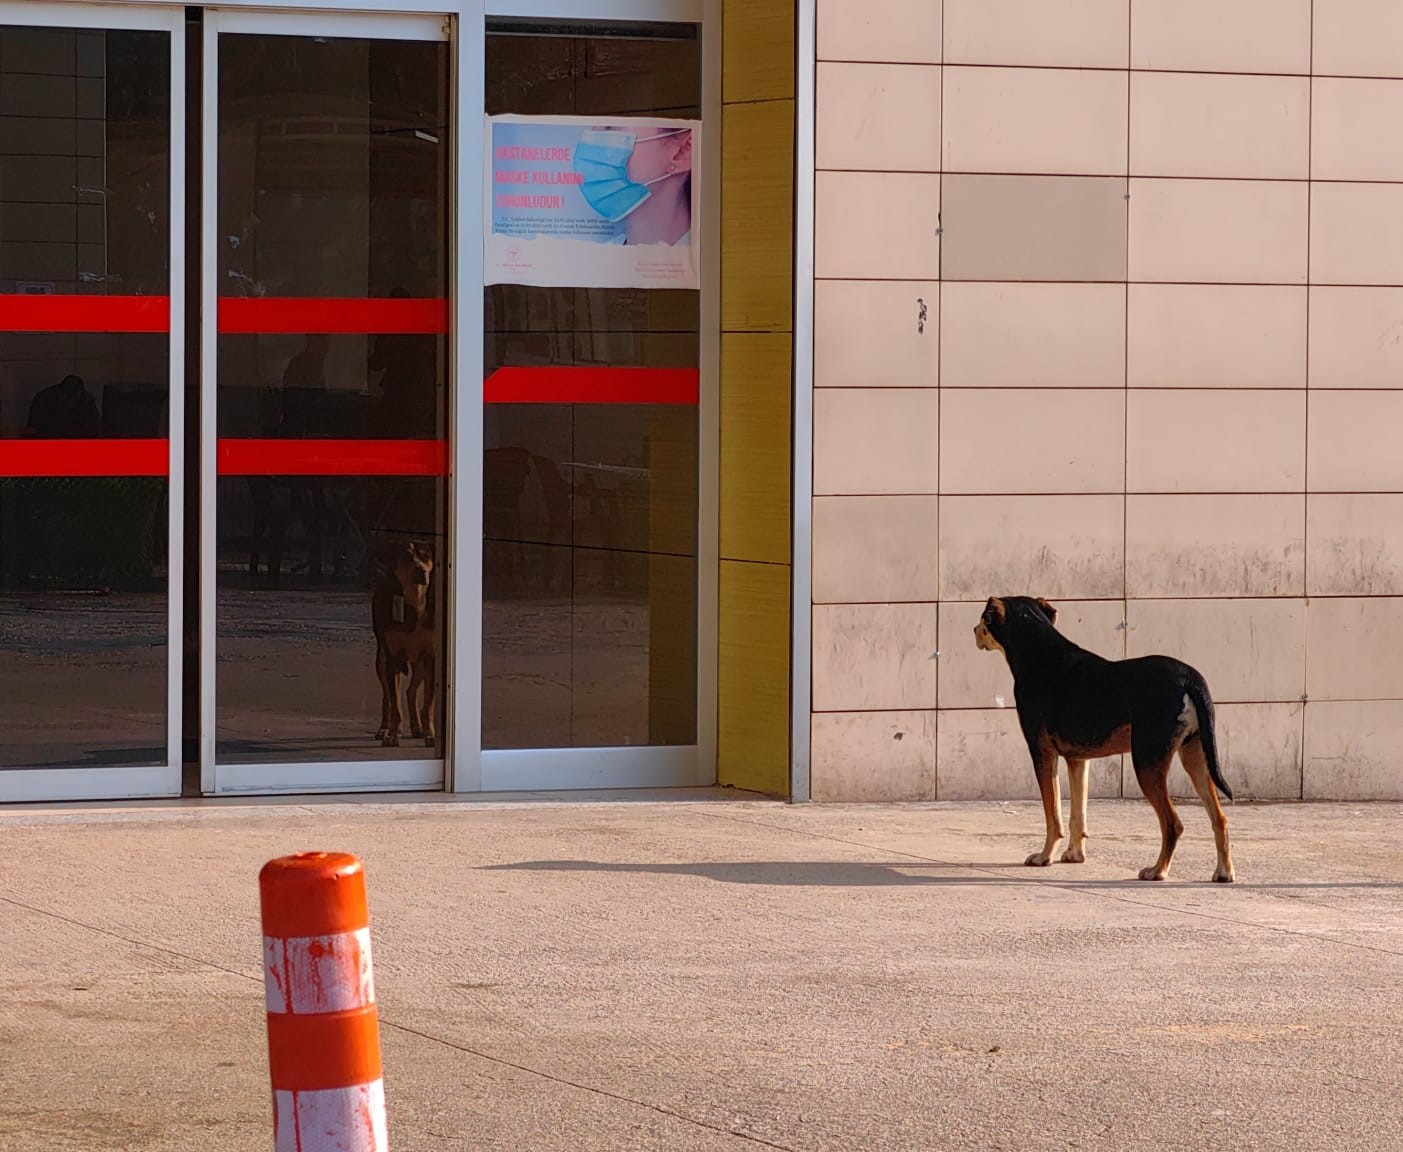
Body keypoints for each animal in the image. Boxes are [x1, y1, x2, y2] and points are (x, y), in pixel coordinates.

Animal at [370, 544, 434, 752]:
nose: (421, 570)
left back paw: (417, 727)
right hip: (381, 659)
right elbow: (395, 703)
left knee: (411, 691)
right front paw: (391, 736)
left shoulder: (431, 657)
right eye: (406, 556)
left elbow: (428, 704)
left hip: (419, 663)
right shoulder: (393, 658)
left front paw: (430, 734)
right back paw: (385, 729)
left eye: (426, 555)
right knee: (388, 697)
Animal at [982, 592, 1234, 881]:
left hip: (1147, 761)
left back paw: (1157, 871)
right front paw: (1074, 855)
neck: (1040, 652)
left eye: (983, 619)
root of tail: (1189, 677)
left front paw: (1045, 857)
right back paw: (1224, 872)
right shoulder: (1078, 760)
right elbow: (1077, 814)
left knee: (1173, 823)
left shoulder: (1042, 754)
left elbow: (1053, 814)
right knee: (1219, 819)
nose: (974, 630)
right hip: (1195, 757)